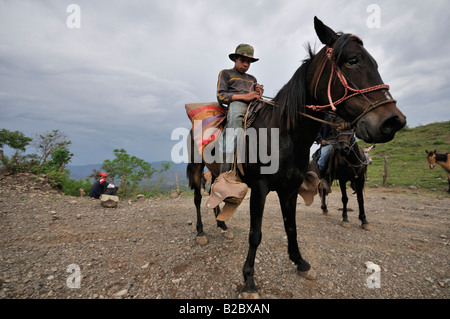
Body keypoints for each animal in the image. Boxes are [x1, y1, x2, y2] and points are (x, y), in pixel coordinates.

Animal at [185, 17, 406, 298]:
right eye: (353, 60)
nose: (392, 121)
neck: (282, 133)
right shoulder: (260, 189)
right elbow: (255, 234)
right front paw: (249, 281)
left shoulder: (289, 189)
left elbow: (291, 226)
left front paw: (300, 263)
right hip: (196, 167)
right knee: (197, 199)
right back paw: (201, 232)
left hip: (214, 172)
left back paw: (223, 228)